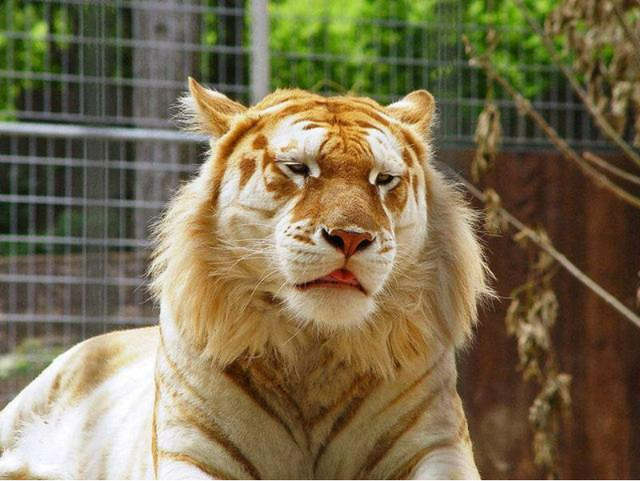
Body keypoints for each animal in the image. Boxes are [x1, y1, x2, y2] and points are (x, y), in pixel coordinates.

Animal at [0, 79, 490, 476]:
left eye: (384, 179)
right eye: (298, 168)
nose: (351, 237)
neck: (314, 348)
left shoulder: (437, 445)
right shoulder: (194, 450)